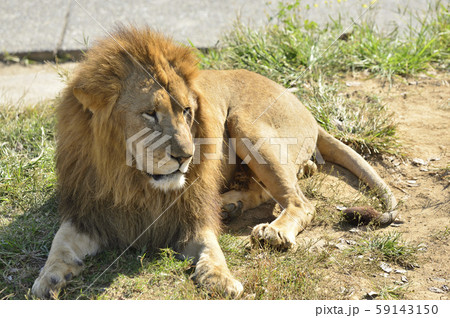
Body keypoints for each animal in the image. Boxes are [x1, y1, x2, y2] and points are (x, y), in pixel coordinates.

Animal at [31, 26, 398, 298]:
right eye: (150, 114)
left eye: (187, 111)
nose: (187, 156)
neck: (132, 179)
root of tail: (305, 108)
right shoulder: (87, 211)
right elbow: (59, 244)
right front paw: (48, 279)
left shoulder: (192, 213)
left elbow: (211, 247)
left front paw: (221, 278)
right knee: (270, 189)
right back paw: (230, 206)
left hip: (248, 125)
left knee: (300, 202)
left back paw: (272, 232)